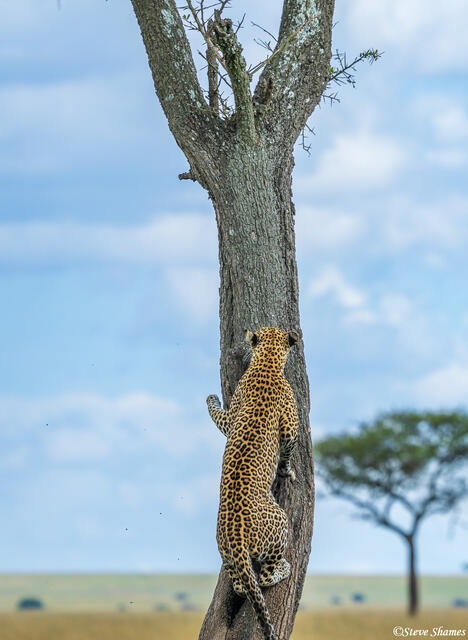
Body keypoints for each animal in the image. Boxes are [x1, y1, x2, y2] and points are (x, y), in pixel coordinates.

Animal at [206, 326, 299, 640]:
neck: (267, 361)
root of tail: (235, 539)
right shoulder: (290, 426)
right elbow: (288, 447)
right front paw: (286, 471)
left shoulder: (232, 416)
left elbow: (220, 418)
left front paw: (210, 399)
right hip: (280, 522)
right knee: (266, 577)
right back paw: (284, 568)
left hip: (227, 557)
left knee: (239, 585)